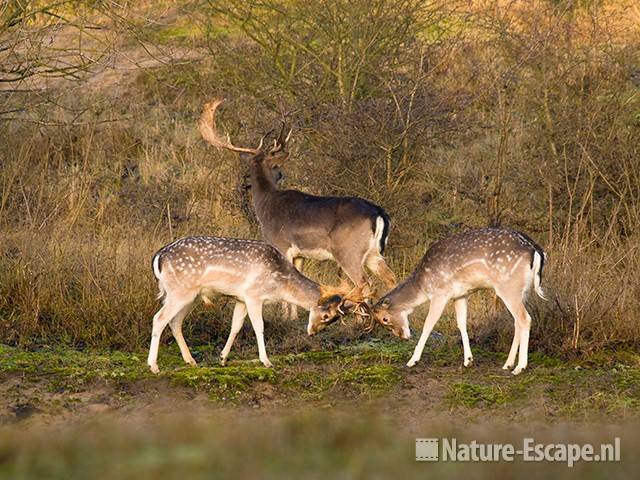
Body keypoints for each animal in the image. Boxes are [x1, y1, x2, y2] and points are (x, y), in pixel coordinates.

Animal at [146, 236, 364, 376]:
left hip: (190, 296)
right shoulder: (253, 295)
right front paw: (266, 361)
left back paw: (190, 361)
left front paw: (222, 358)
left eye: (334, 319)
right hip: (180, 291)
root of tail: (158, 257)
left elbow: (236, 326)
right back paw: (154, 366)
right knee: (159, 318)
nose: (312, 332)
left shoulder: (241, 299)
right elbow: (259, 327)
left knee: (174, 321)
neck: (279, 284)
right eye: (327, 316)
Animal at [198, 99, 398, 320]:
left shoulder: (280, 244)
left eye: (274, 166)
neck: (266, 203)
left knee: (365, 283)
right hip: (373, 253)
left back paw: (362, 319)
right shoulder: (300, 253)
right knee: (391, 278)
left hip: (348, 252)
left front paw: (284, 316)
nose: (280, 173)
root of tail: (378, 213)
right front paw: (293, 317)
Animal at [368, 228, 548, 376]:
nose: (403, 336)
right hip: (522, 291)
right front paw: (468, 360)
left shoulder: (440, 293)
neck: (423, 285)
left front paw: (412, 360)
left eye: (385, 319)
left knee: (525, 318)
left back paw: (519, 367)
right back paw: (508, 364)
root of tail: (536, 251)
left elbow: (428, 324)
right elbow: (461, 324)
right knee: (517, 321)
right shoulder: (460, 295)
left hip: (508, 287)